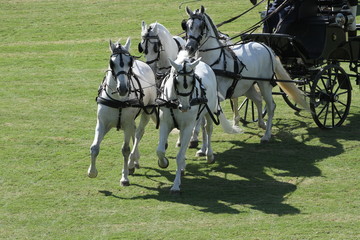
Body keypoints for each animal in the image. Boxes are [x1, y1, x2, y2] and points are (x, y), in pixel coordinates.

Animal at [88, 38, 157, 186]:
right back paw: (135, 160)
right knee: (134, 131)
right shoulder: (102, 123)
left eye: (129, 62)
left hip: (146, 112)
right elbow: (94, 147)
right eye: (111, 63)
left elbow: (125, 150)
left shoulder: (126, 124)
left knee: (138, 133)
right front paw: (92, 172)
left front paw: (124, 177)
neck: (118, 99)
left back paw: (132, 161)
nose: (123, 88)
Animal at [156, 51, 240, 193]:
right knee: (201, 128)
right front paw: (164, 163)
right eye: (176, 81)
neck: (176, 102)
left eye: (192, 81)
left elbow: (179, 156)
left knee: (208, 129)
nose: (185, 107)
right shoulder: (165, 124)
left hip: (209, 111)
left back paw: (209, 155)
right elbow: (160, 151)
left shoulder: (188, 126)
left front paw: (176, 185)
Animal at [183, 6, 310, 142]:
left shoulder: (218, 94)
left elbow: (202, 116)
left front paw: (194, 137)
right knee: (258, 100)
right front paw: (194, 136)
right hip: (246, 86)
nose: (189, 48)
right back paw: (262, 124)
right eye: (187, 26)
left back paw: (267, 135)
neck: (214, 60)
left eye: (201, 26)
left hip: (264, 84)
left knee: (271, 106)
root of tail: (266, 47)